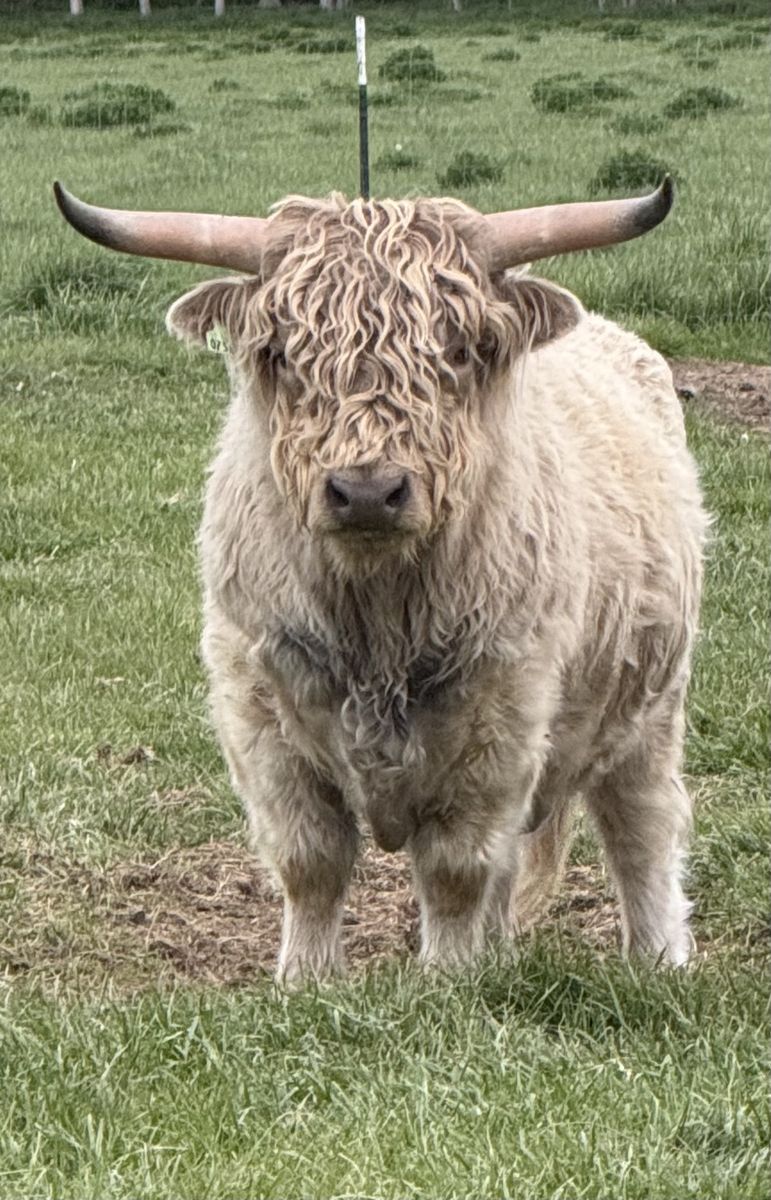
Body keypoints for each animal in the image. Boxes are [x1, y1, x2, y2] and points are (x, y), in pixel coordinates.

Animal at [55, 179, 706, 982]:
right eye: (281, 352)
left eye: (458, 350)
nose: (366, 492)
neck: (378, 623)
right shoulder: (257, 712)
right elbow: (310, 860)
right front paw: (305, 979)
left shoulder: (500, 718)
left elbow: (456, 868)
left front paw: (446, 979)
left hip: (650, 705)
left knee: (639, 829)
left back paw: (656, 961)